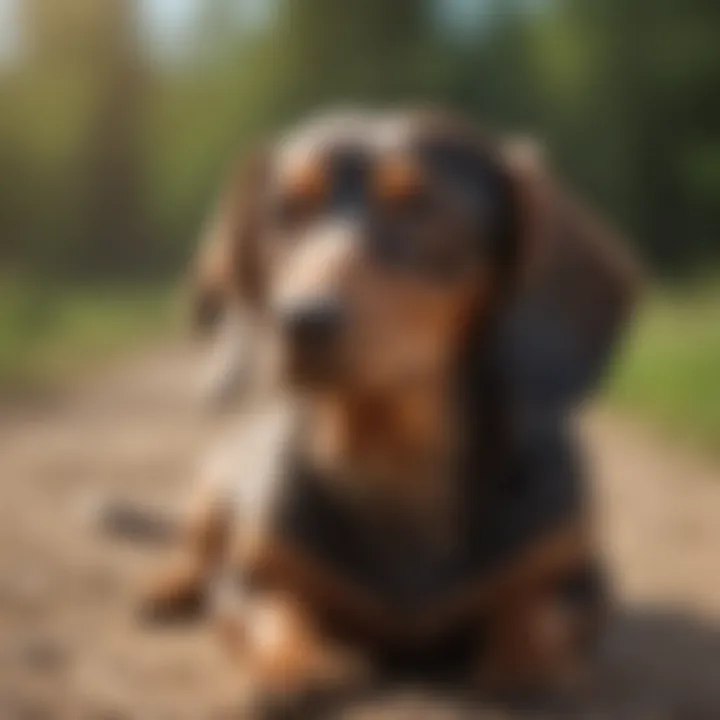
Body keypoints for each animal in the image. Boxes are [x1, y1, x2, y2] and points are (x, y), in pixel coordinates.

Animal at [135, 109, 636, 716]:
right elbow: (278, 609)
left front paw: (529, 666)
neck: (391, 454)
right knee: (194, 550)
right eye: (286, 210)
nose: (300, 321)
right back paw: (167, 586)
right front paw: (289, 665)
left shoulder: (580, 580)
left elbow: (534, 609)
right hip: (212, 491)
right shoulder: (250, 580)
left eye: (417, 205)